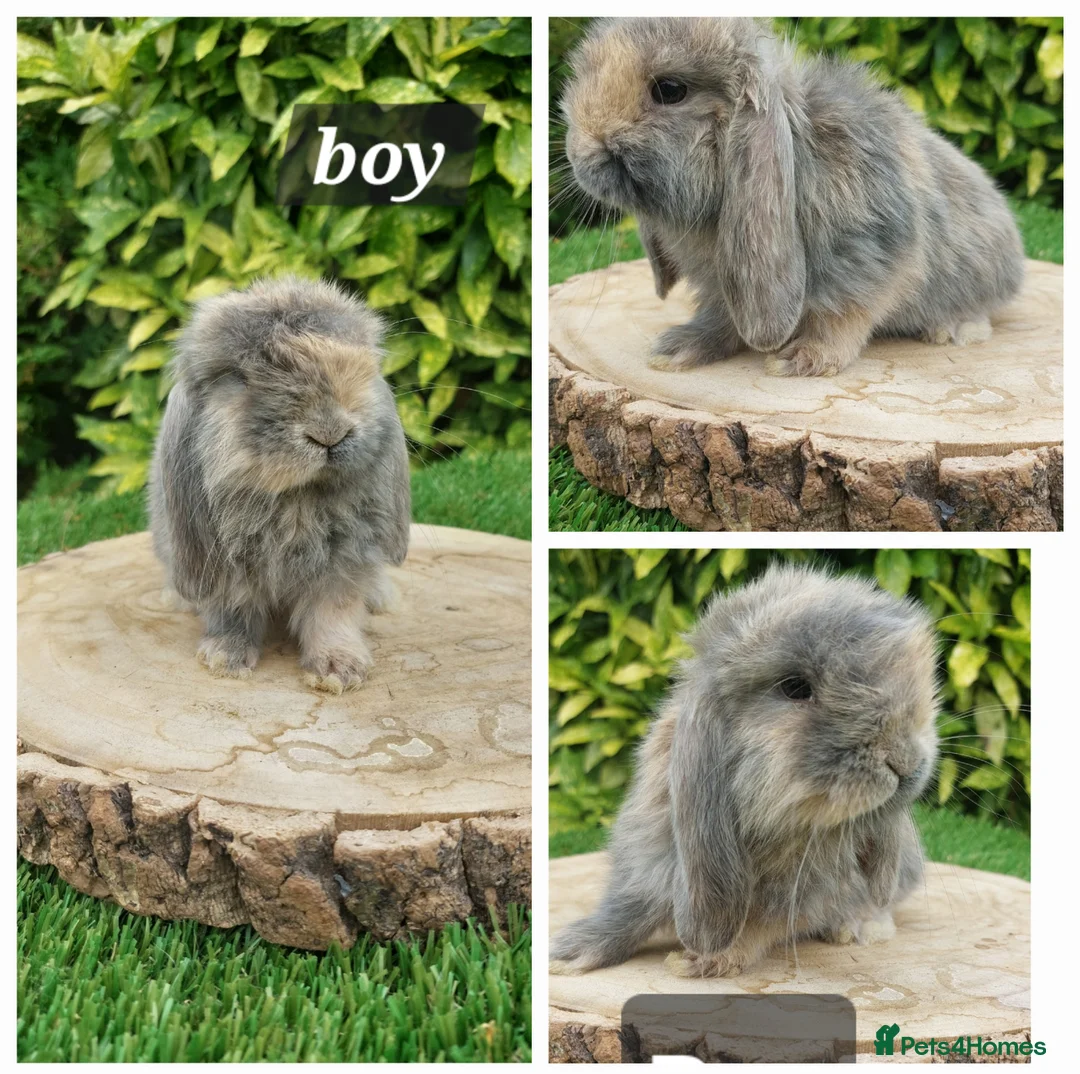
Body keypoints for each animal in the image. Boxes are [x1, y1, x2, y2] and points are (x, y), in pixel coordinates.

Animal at [148, 275, 410, 693]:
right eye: (239, 379)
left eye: (362, 363)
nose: (330, 432)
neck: (296, 500)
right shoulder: (223, 570)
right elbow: (232, 614)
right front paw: (225, 659)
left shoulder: (343, 564)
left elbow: (332, 614)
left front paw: (338, 672)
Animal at [550, 564, 939, 978]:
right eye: (795, 687)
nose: (906, 761)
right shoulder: (646, 862)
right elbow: (629, 908)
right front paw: (570, 953)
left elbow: (761, 927)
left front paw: (701, 960)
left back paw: (859, 926)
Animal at [561, 17, 1024, 376]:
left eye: (669, 90)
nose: (581, 153)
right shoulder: (724, 286)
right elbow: (721, 318)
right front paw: (677, 349)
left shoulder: (874, 260)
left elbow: (844, 317)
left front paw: (800, 359)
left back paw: (952, 330)